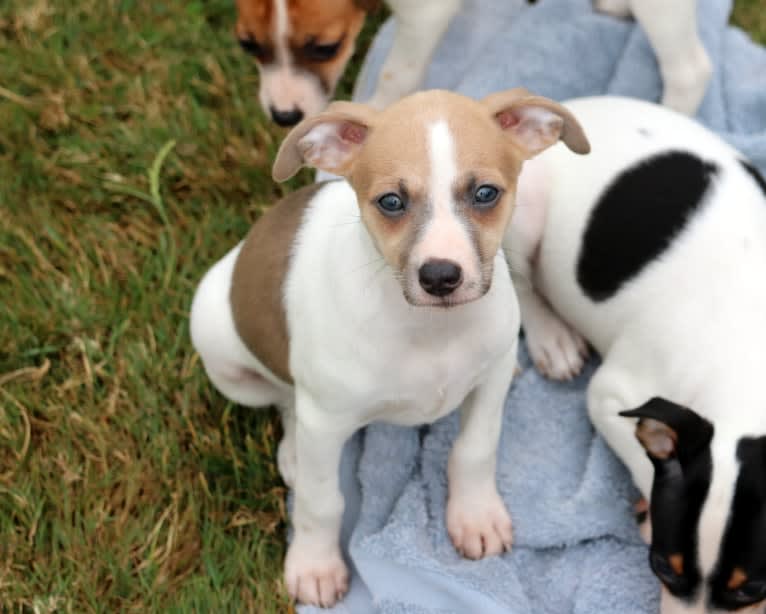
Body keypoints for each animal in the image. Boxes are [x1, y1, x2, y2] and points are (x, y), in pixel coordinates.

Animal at [189, 89, 592, 608]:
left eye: (485, 193)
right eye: (392, 201)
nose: (440, 276)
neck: (429, 329)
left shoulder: (491, 378)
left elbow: (475, 449)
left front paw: (475, 516)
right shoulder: (327, 421)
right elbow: (322, 502)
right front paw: (315, 564)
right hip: (219, 343)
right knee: (285, 400)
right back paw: (294, 452)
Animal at [238, 0, 712, 127]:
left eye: (325, 48)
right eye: (247, 45)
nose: (283, 117)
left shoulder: (426, 13)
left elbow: (397, 72)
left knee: (691, 69)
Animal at [510, 94, 766, 612]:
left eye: (750, 589)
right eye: (662, 569)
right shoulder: (611, 395)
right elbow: (643, 458)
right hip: (520, 213)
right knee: (518, 280)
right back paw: (551, 338)